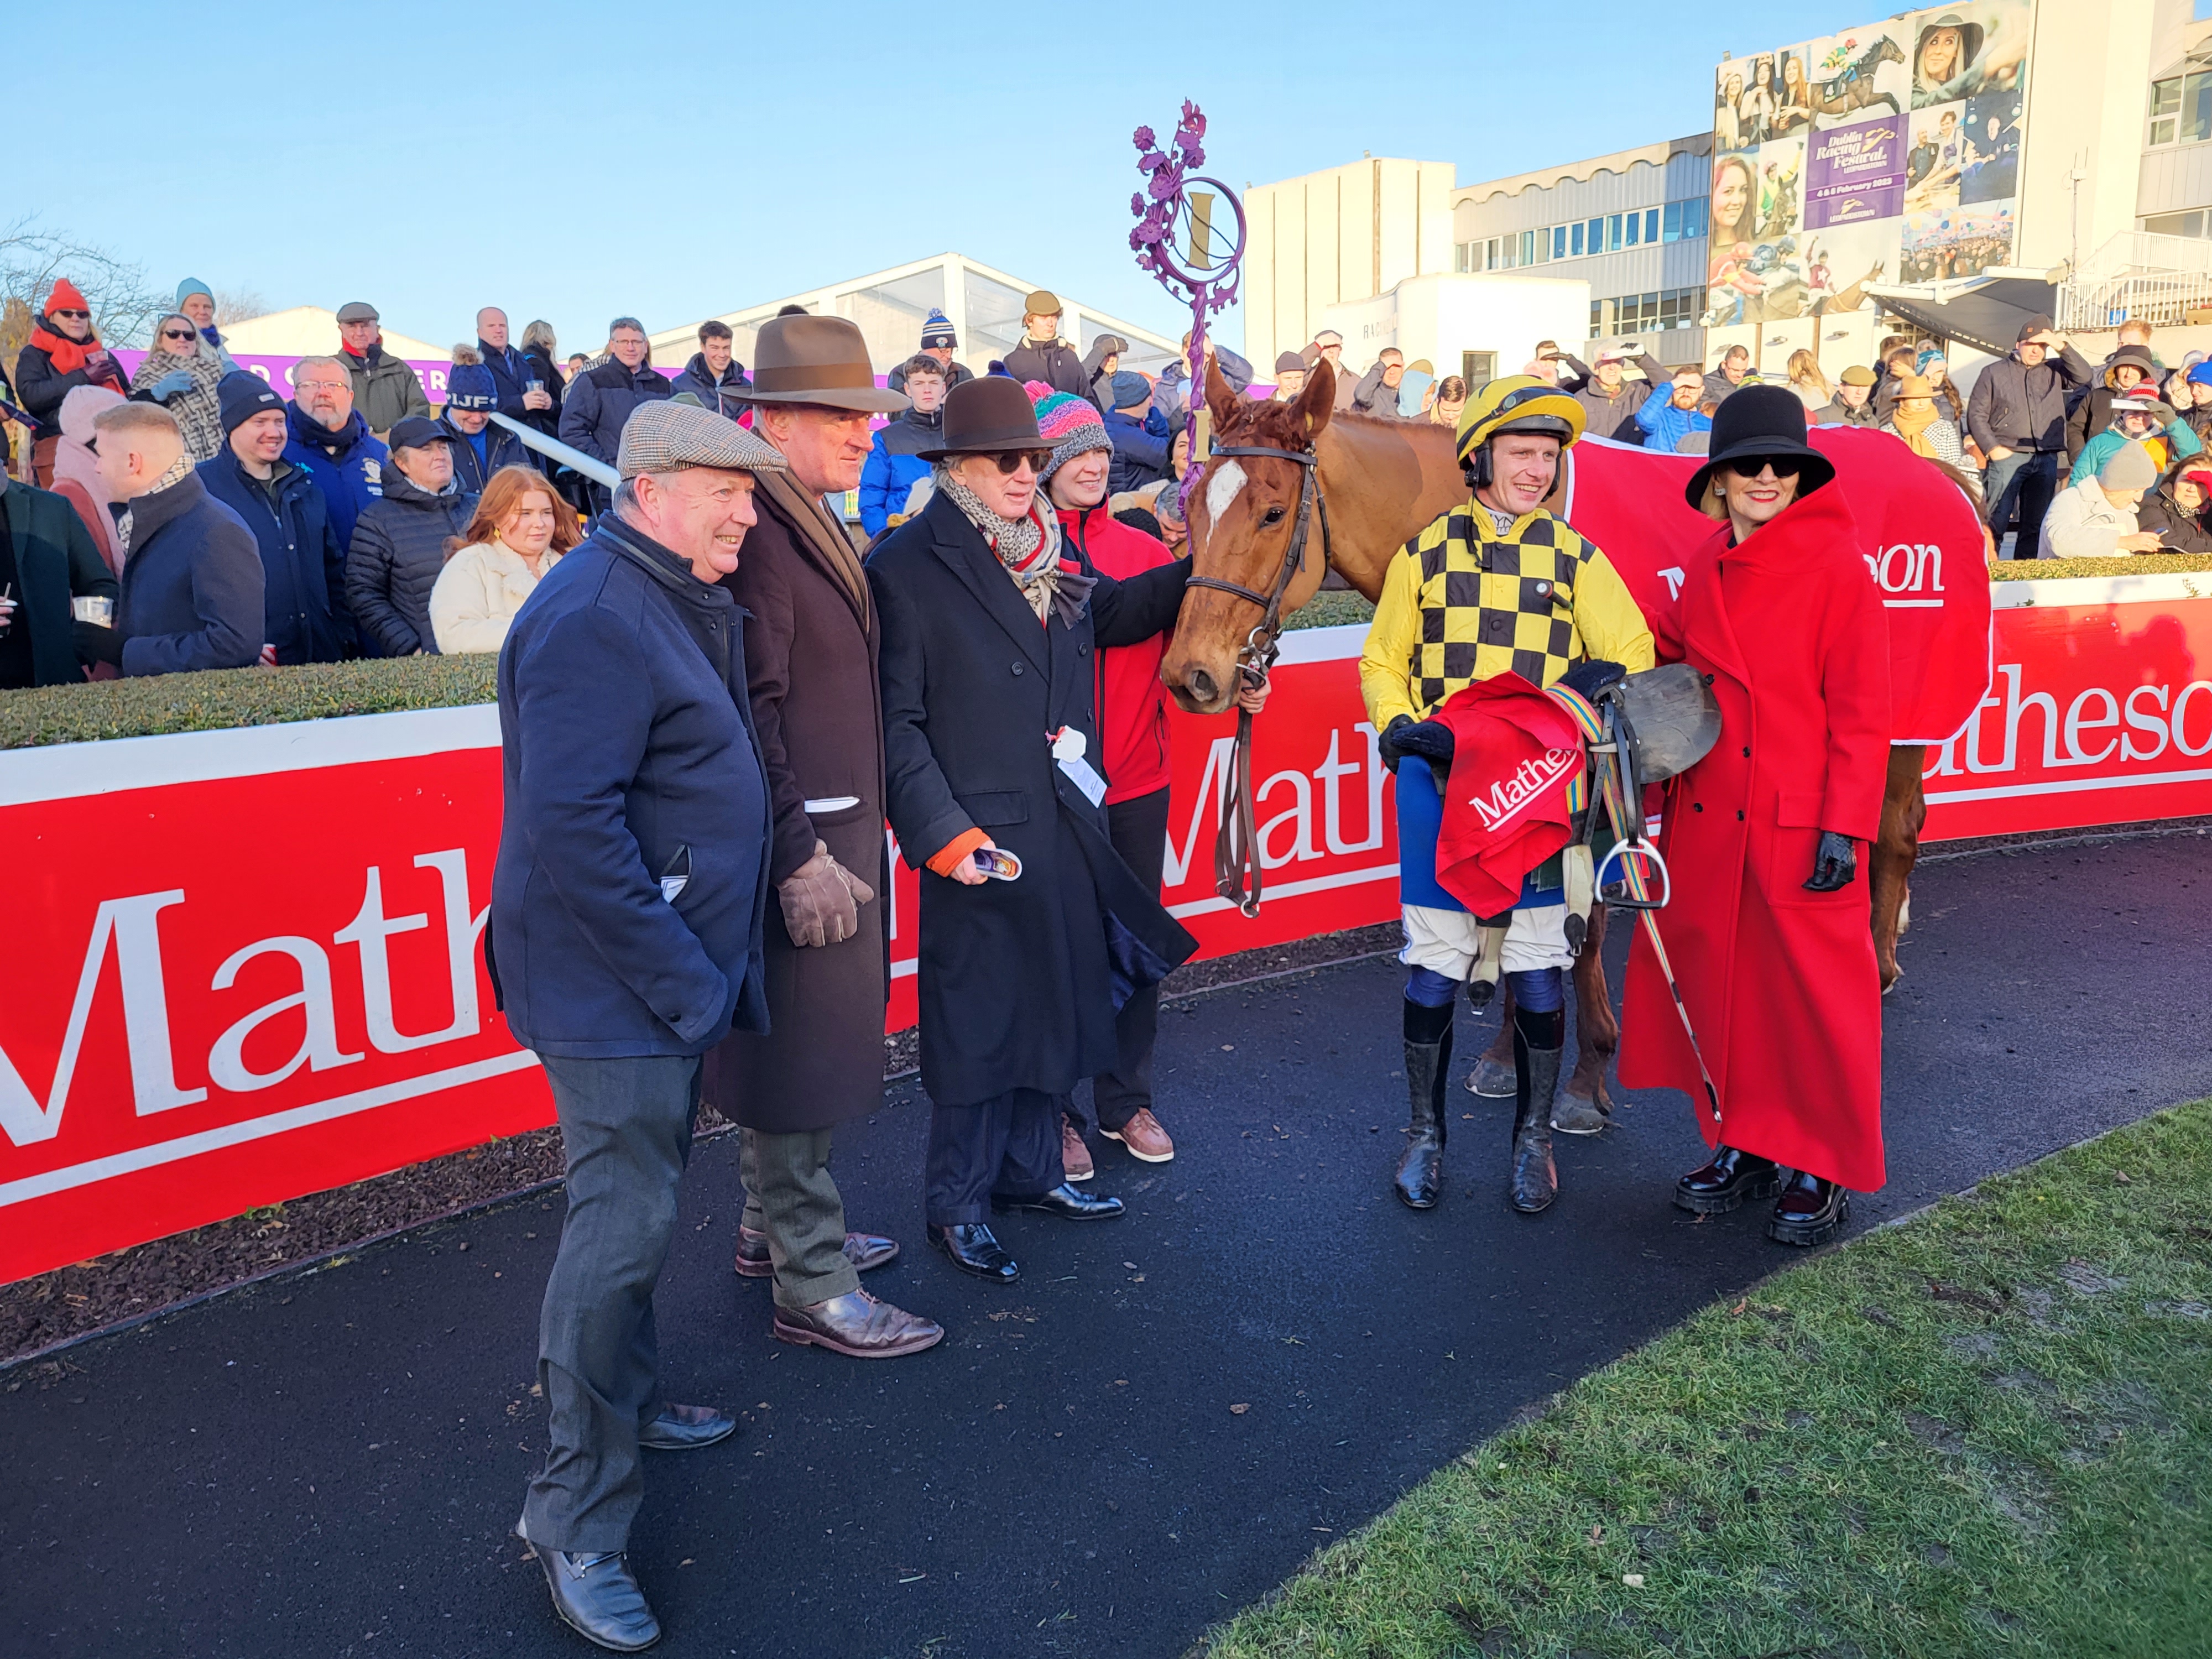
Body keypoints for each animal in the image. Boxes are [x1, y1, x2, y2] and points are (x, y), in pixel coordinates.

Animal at [1168, 363, 1929, 1119]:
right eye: (1193, 504)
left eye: (1271, 511)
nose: (1190, 675)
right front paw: (1507, 1056)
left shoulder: (1601, 760)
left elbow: (1582, 922)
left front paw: (1588, 1073)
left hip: (1896, 722)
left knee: (1893, 829)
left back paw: (1877, 963)